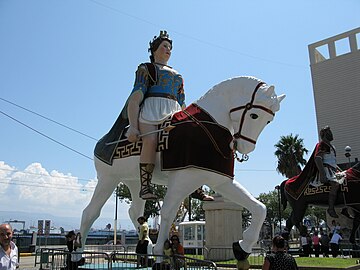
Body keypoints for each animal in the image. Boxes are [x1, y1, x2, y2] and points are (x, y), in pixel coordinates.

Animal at [79, 75, 284, 262]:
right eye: (254, 115)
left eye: (268, 121)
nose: (245, 148)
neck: (209, 126)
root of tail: (102, 141)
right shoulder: (181, 179)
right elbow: (167, 213)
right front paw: (160, 255)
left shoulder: (221, 181)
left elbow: (260, 208)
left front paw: (243, 246)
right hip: (108, 179)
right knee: (90, 213)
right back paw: (78, 255)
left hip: (134, 181)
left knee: (135, 212)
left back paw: (147, 248)